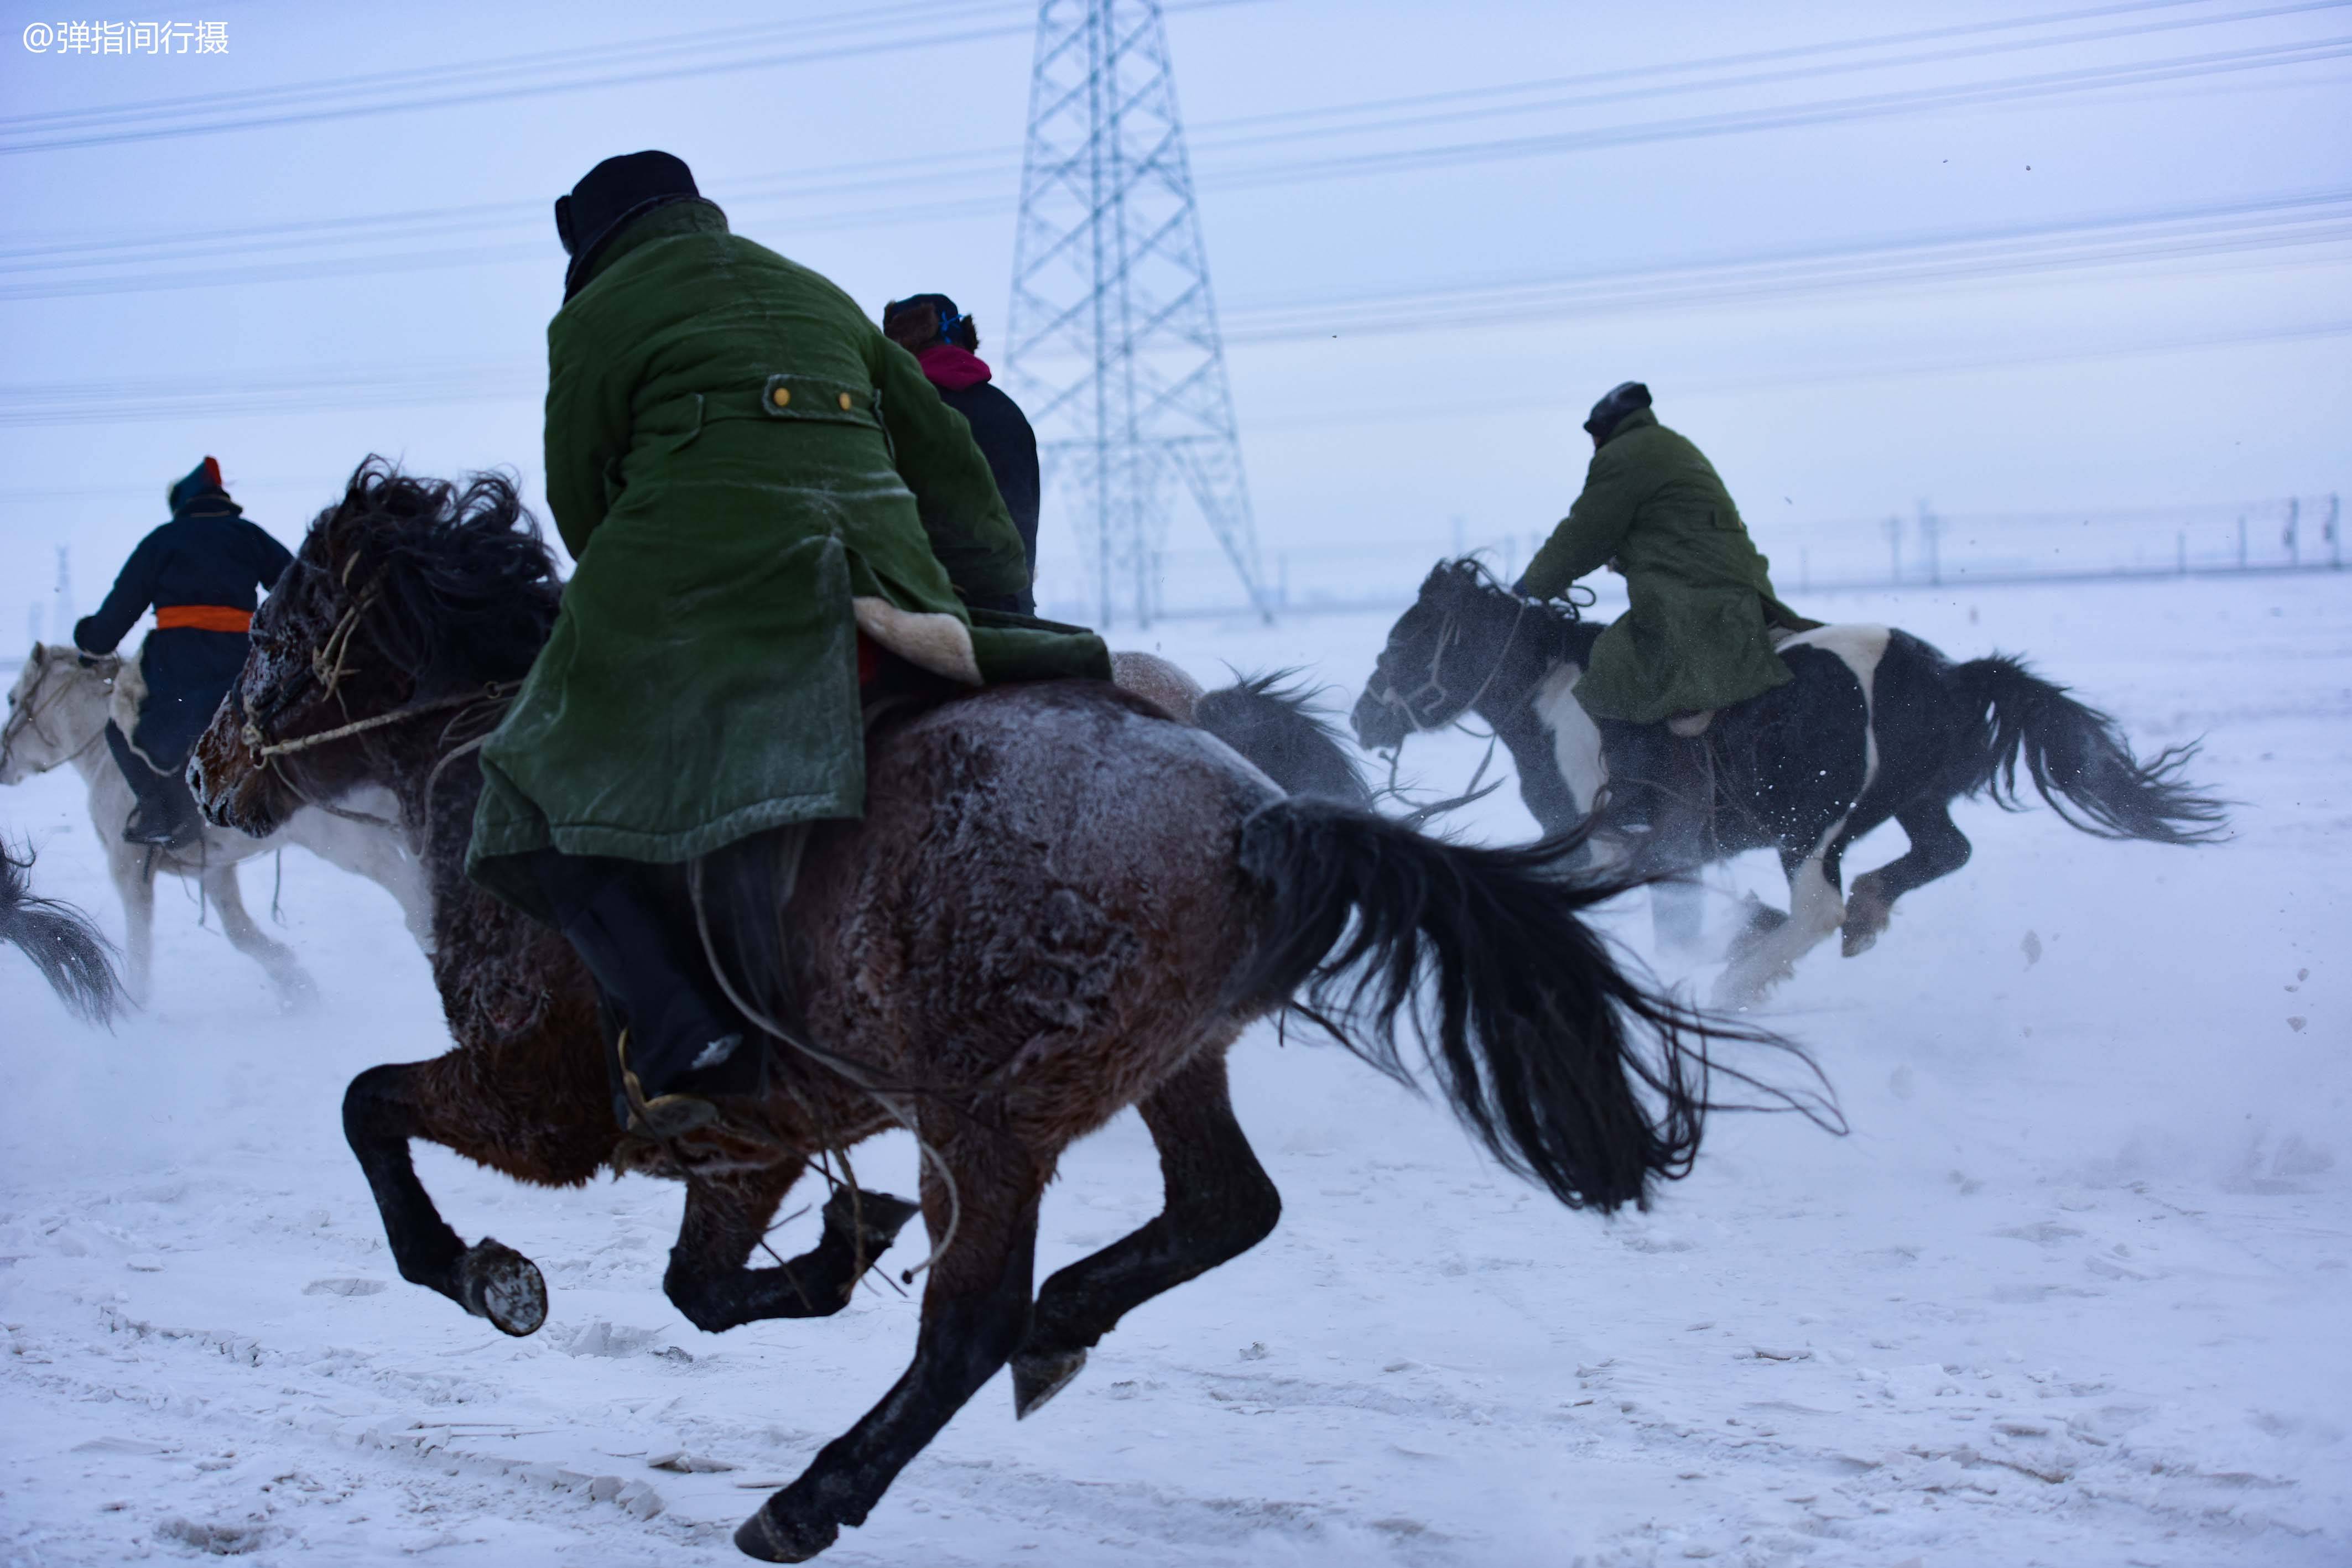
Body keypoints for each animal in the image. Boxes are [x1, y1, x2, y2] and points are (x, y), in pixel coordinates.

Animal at [2, 644, 435, 1010]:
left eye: (11, 700)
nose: (4, 762)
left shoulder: (130, 867)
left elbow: (139, 942)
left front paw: (133, 1004)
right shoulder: (211, 867)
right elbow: (240, 932)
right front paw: (295, 986)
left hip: (352, 843)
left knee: (413, 900)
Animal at [202, 463, 1815, 1561]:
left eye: (272, 635)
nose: (207, 774)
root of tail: (1258, 818)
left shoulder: (538, 1099)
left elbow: (370, 1107)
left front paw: (480, 1270)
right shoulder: (746, 1138)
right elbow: (706, 1287)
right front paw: (838, 1248)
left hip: (984, 1118)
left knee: (972, 1319)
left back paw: (820, 1491)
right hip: (1158, 1067)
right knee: (1223, 1208)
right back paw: (1058, 1321)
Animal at [1364, 564, 2220, 1006]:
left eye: (1403, 641)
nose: (1365, 716)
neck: (1555, 693)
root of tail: (1950, 675)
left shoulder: (1613, 841)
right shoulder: (1656, 849)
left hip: (1809, 825)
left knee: (1816, 908)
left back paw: (1738, 982)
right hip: (1907, 803)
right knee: (1944, 851)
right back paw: (1858, 918)